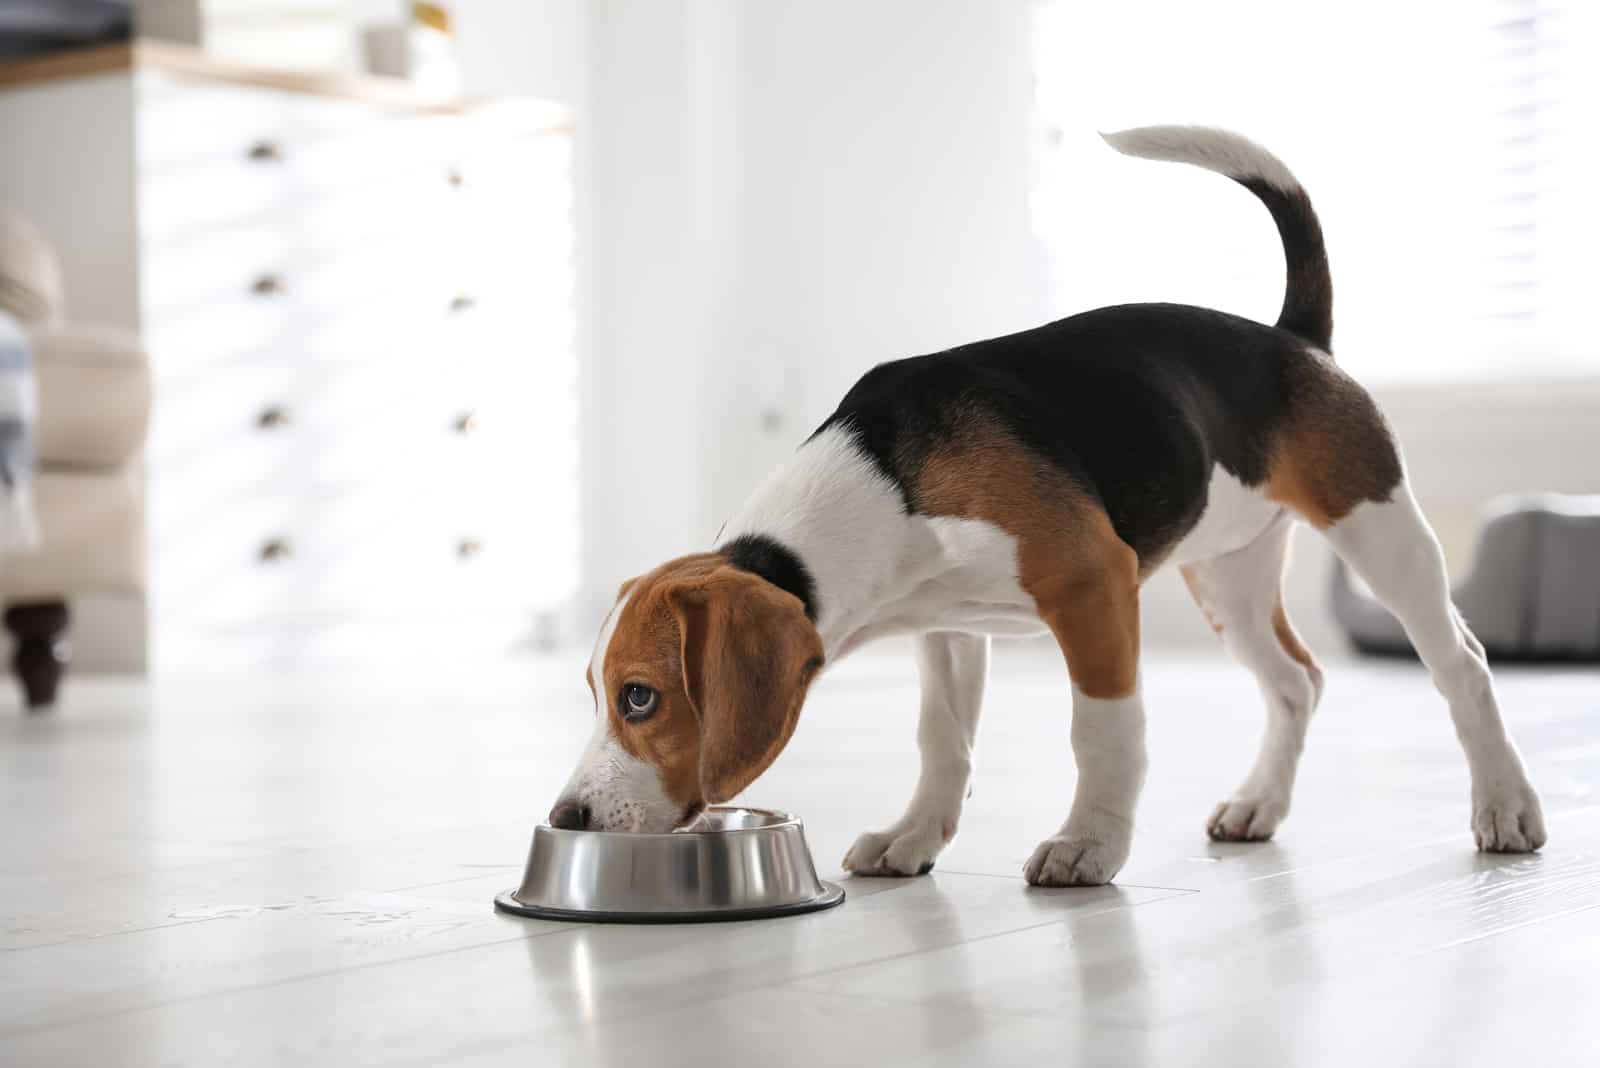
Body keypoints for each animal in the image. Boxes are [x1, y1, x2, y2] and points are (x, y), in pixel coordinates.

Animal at [547, 125, 1536, 882]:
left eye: (640, 697)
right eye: (600, 693)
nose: (567, 819)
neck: (884, 480)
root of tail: (1294, 339)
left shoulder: (1094, 589)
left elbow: (1102, 733)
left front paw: (1088, 845)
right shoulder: (949, 628)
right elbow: (942, 742)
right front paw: (915, 837)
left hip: (1380, 530)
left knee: (1464, 665)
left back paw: (1505, 806)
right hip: (1229, 576)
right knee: (1297, 680)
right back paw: (1259, 805)